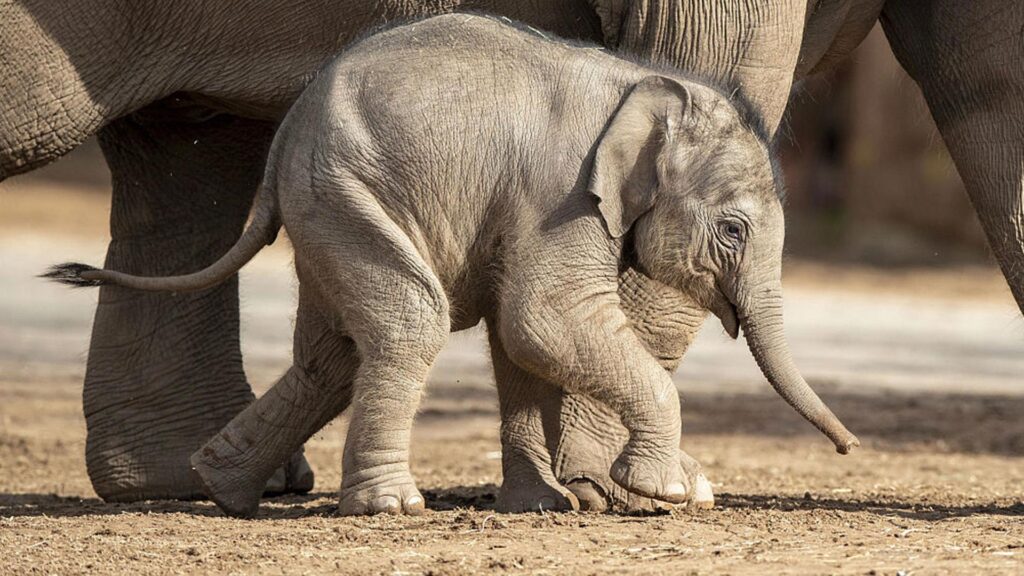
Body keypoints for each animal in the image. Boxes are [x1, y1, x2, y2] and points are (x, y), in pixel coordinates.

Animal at [3, 1, 1021, 510]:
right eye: (733, 231)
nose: (852, 449)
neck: (642, 89)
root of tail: (290, 132)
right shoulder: (562, 196)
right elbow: (541, 320)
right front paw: (664, 493)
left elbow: (518, 336)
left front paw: (552, 504)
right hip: (350, 190)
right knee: (402, 327)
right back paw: (389, 508)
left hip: (338, 203)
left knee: (333, 350)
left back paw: (221, 488)